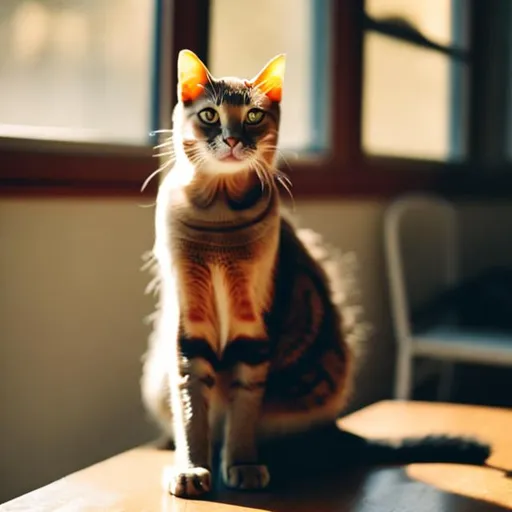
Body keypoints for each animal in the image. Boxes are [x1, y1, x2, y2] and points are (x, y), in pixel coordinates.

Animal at [139, 50, 488, 498]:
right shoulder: (188, 327)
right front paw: (190, 469)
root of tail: (335, 427)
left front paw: (243, 464)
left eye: (253, 116)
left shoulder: (253, 332)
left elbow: (244, 410)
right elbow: (191, 410)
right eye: (210, 115)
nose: (232, 139)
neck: (217, 218)